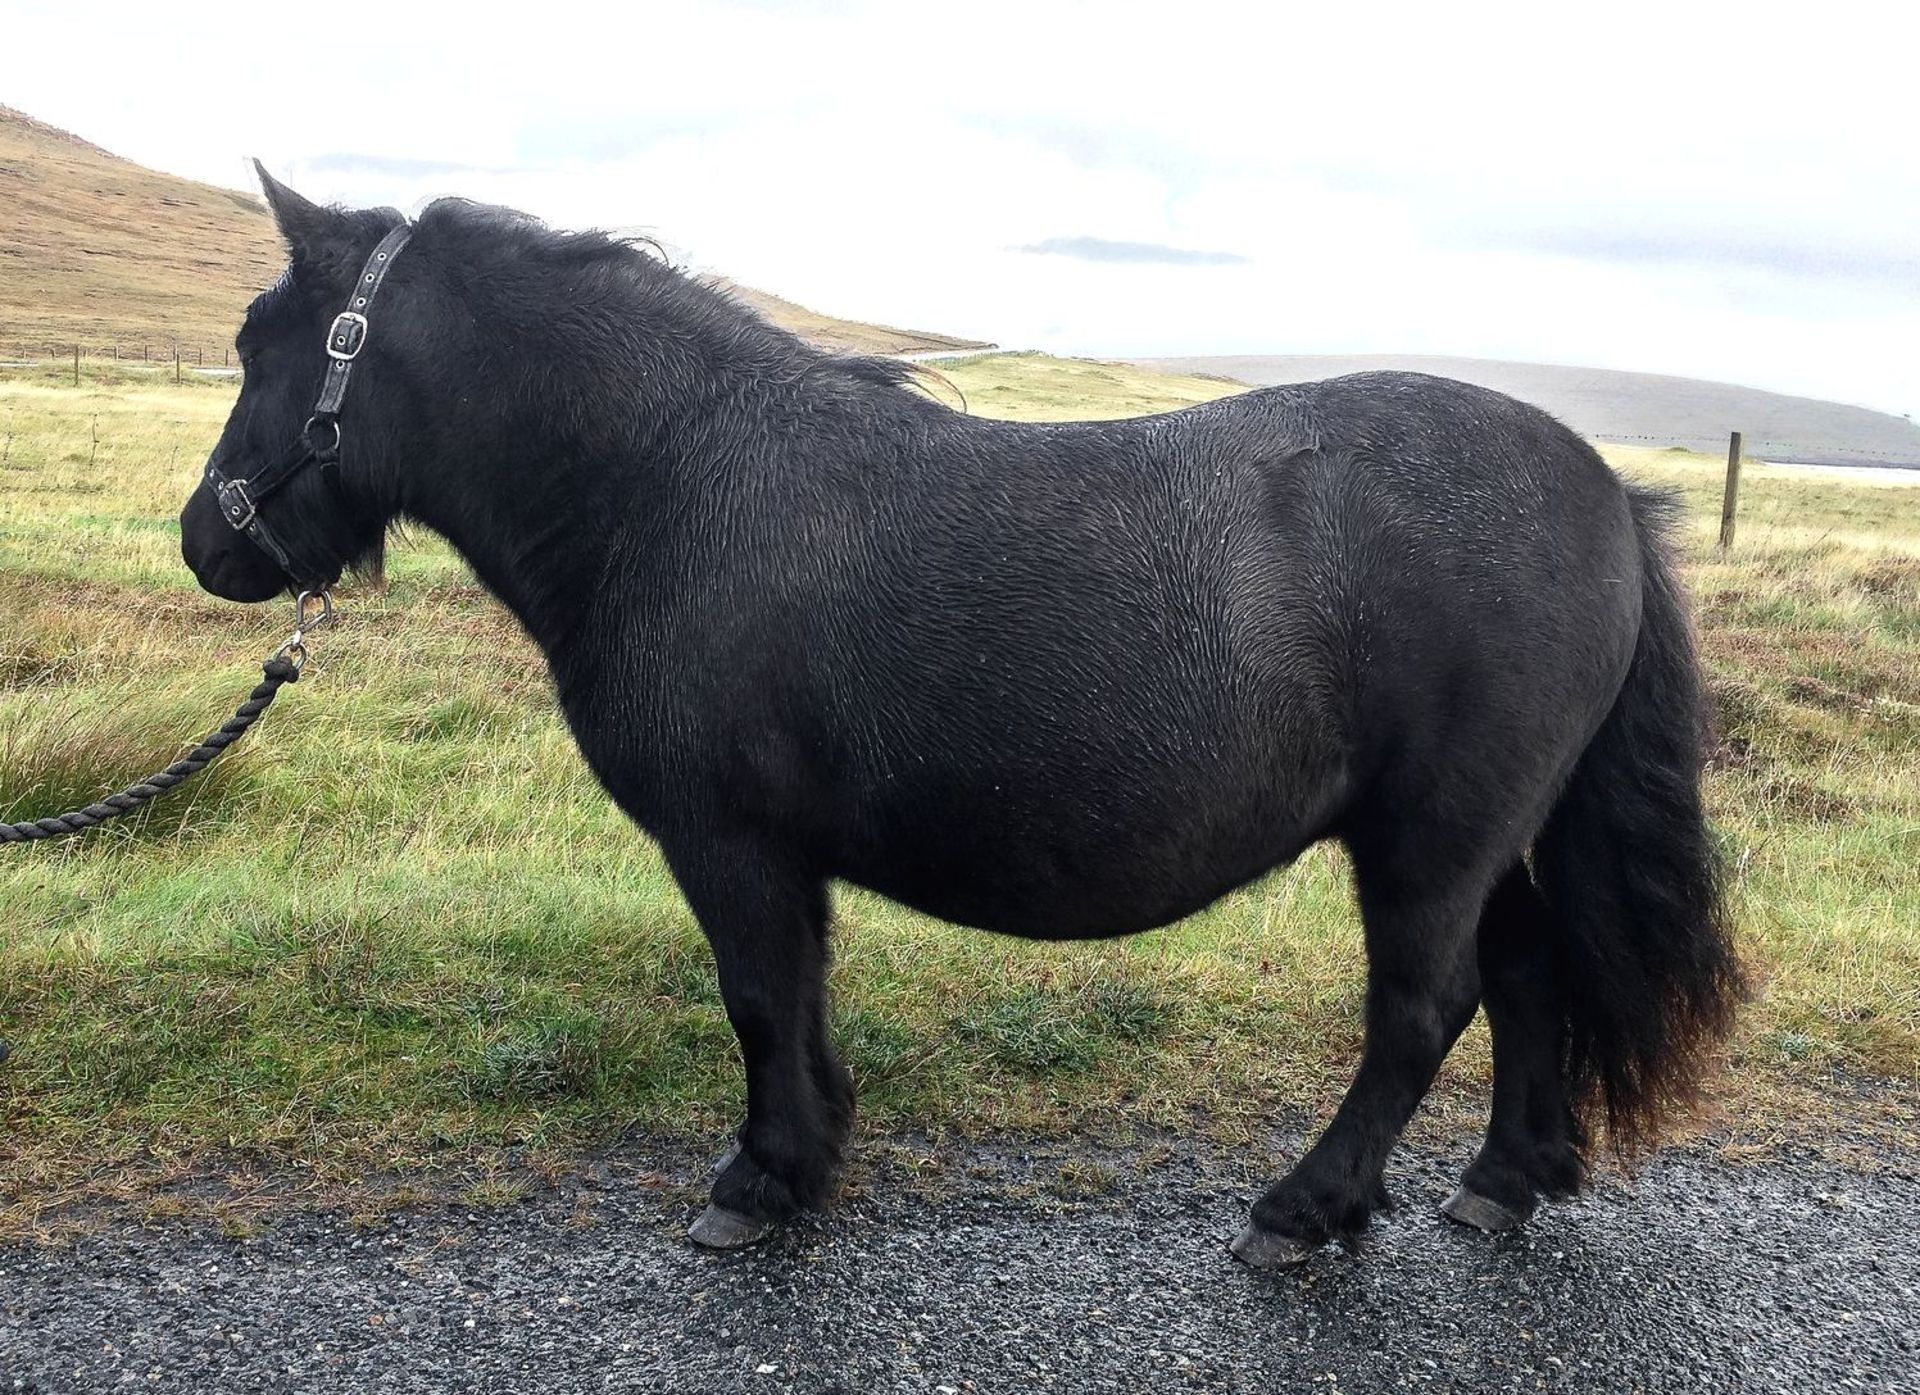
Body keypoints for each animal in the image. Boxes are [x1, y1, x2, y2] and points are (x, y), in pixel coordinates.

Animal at [187, 174, 1751, 1266]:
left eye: (267, 344)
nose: (207, 542)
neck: (675, 485)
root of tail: (1605, 486)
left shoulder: (726, 842)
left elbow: (758, 996)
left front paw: (760, 1180)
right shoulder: (778, 853)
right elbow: (800, 993)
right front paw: (812, 1155)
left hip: (1432, 839)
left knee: (1425, 1011)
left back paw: (1307, 1209)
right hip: (1474, 836)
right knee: (1531, 969)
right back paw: (1503, 1182)